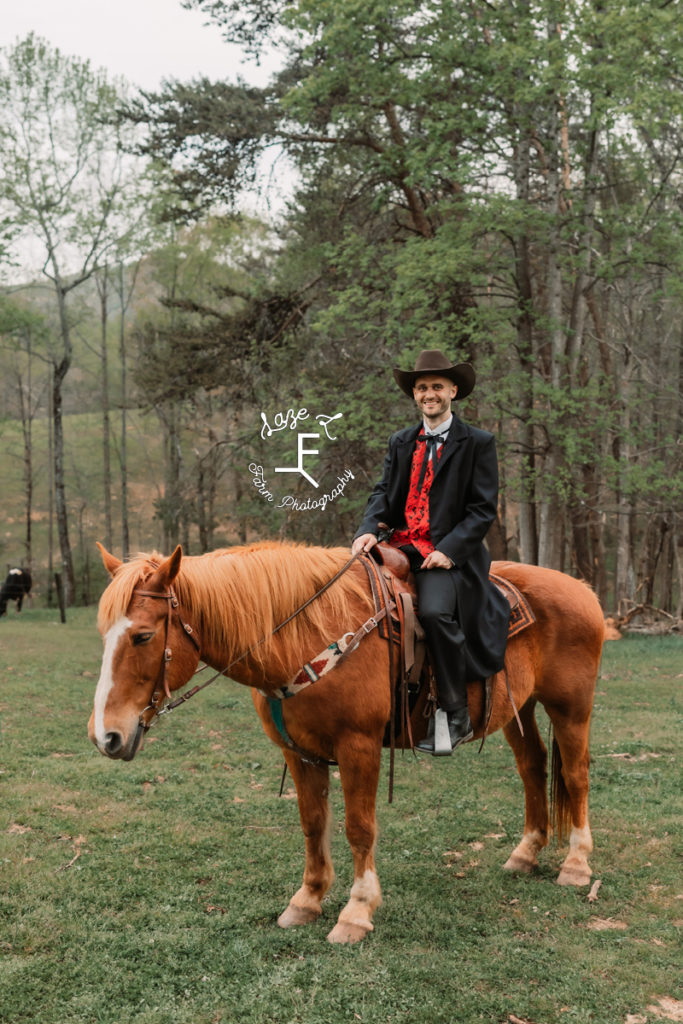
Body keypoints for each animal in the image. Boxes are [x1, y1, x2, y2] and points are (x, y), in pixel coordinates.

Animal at [89, 544, 602, 942]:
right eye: (103, 634)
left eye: (143, 636)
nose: (105, 735)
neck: (306, 634)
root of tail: (583, 589)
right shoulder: (299, 753)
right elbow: (313, 824)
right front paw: (307, 899)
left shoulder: (359, 747)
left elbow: (359, 828)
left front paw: (356, 911)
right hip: (520, 708)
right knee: (533, 767)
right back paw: (526, 852)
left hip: (571, 708)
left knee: (576, 775)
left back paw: (577, 863)